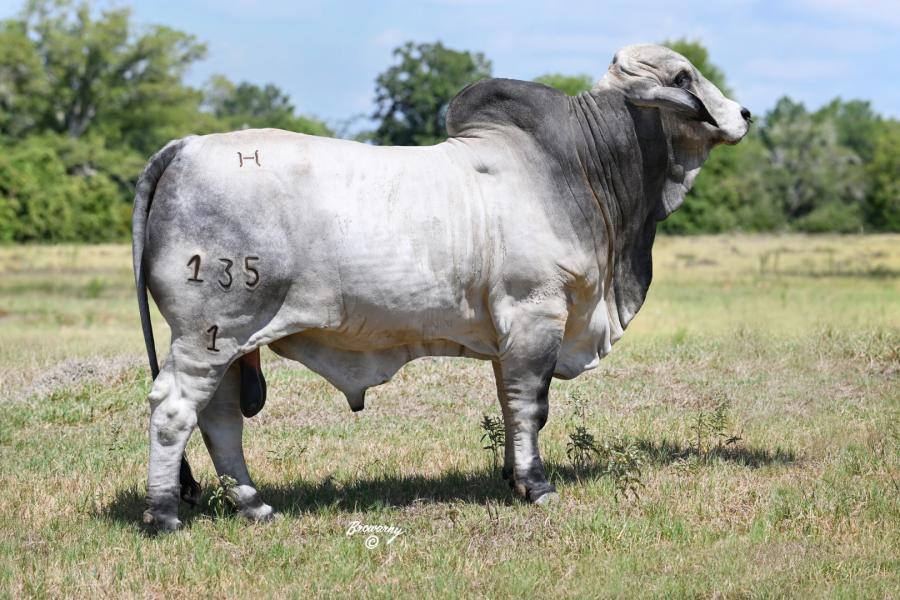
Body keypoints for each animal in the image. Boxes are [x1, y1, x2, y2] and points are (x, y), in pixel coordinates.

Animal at [134, 44, 748, 528]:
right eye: (682, 77)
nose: (742, 113)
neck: (581, 167)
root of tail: (187, 146)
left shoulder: (511, 335)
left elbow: (510, 406)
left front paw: (511, 477)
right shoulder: (536, 315)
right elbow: (532, 407)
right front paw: (537, 487)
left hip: (231, 343)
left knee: (219, 419)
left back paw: (255, 505)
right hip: (208, 333)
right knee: (173, 409)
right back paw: (164, 514)